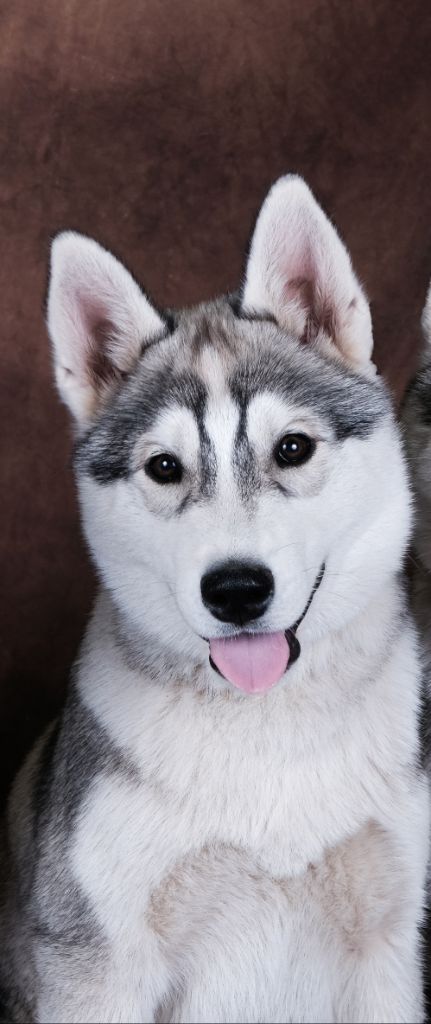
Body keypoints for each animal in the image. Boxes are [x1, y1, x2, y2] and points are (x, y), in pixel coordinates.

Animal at [0, 176, 429, 1023]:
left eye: (291, 447)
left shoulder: (387, 949)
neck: (267, 730)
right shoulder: (95, 965)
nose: (235, 590)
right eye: (163, 467)